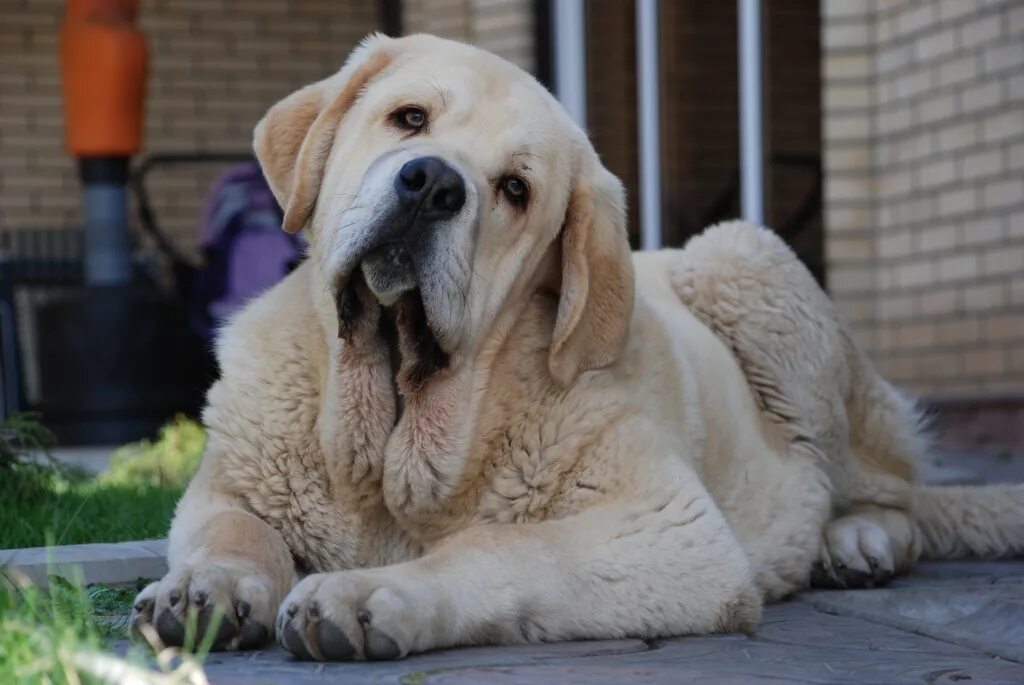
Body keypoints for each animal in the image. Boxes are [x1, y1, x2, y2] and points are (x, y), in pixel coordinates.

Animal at [132, 34, 1019, 659]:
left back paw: (860, 539)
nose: (433, 183)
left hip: (746, 261)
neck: (395, 431)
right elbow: (234, 530)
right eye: (410, 118)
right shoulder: (230, 483)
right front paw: (205, 587)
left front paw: (370, 595)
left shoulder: (668, 531)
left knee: (897, 490)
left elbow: (500, 546)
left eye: (515, 189)